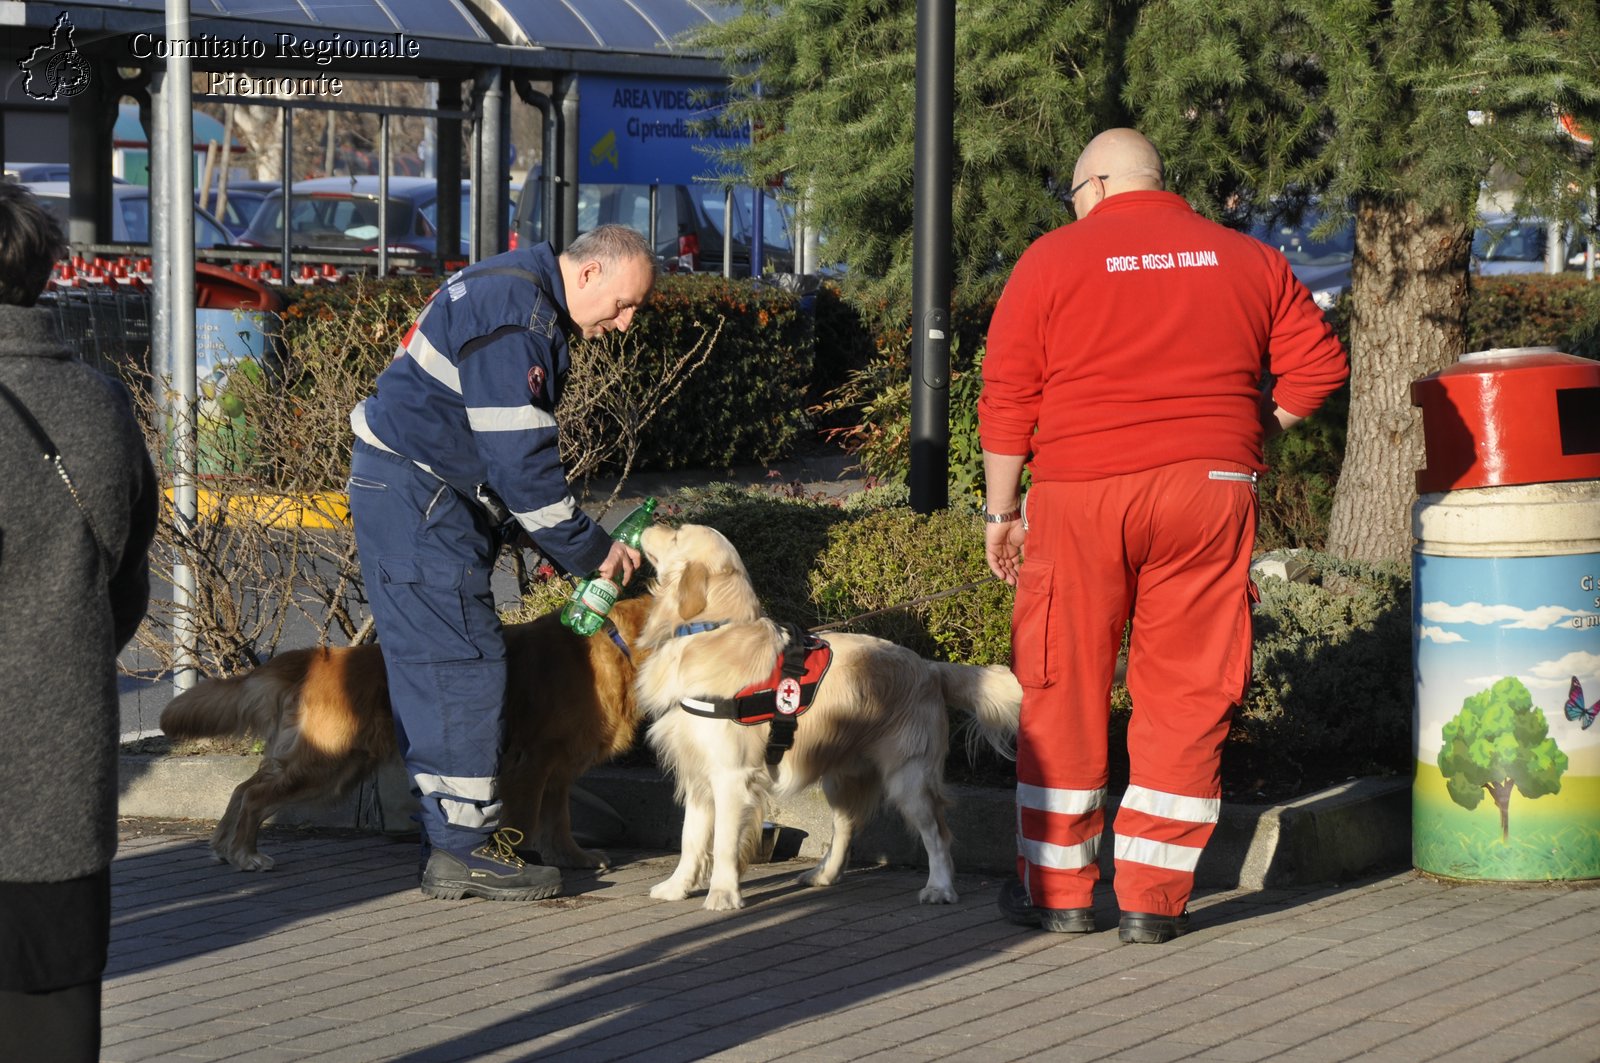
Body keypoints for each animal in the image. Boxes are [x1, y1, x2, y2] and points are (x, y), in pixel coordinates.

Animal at [159, 592, 652, 877]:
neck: (614, 647)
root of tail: (317, 658)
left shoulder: (559, 768)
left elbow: (559, 820)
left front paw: (571, 857)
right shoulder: (534, 763)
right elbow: (529, 820)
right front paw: (517, 859)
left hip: (331, 763)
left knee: (244, 787)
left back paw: (224, 847)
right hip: (326, 762)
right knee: (255, 795)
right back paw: (245, 853)